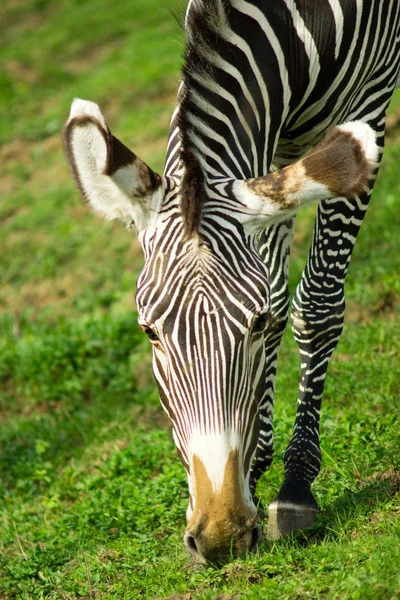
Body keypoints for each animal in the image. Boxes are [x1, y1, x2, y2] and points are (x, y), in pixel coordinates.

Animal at [63, 0, 400, 564]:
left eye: (255, 325)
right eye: (149, 332)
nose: (220, 537)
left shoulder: (372, 94)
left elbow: (313, 302)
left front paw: (294, 484)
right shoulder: (270, 138)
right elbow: (277, 284)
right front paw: (258, 465)